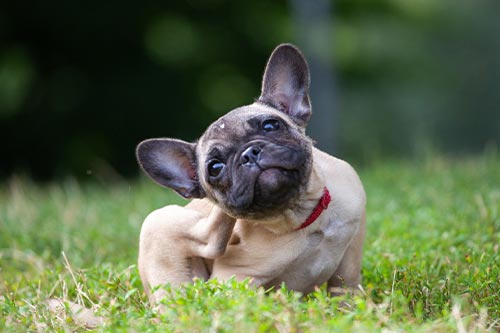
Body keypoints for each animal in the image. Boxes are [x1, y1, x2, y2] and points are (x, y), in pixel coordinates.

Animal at [135, 43, 366, 304]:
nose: (249, 154)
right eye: (215, 167)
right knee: (208, 241)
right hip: (159, 224)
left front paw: (347, 306)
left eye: (270, 125)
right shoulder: (233, 279)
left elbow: (345, 284)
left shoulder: (352, 246)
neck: (302, 216)